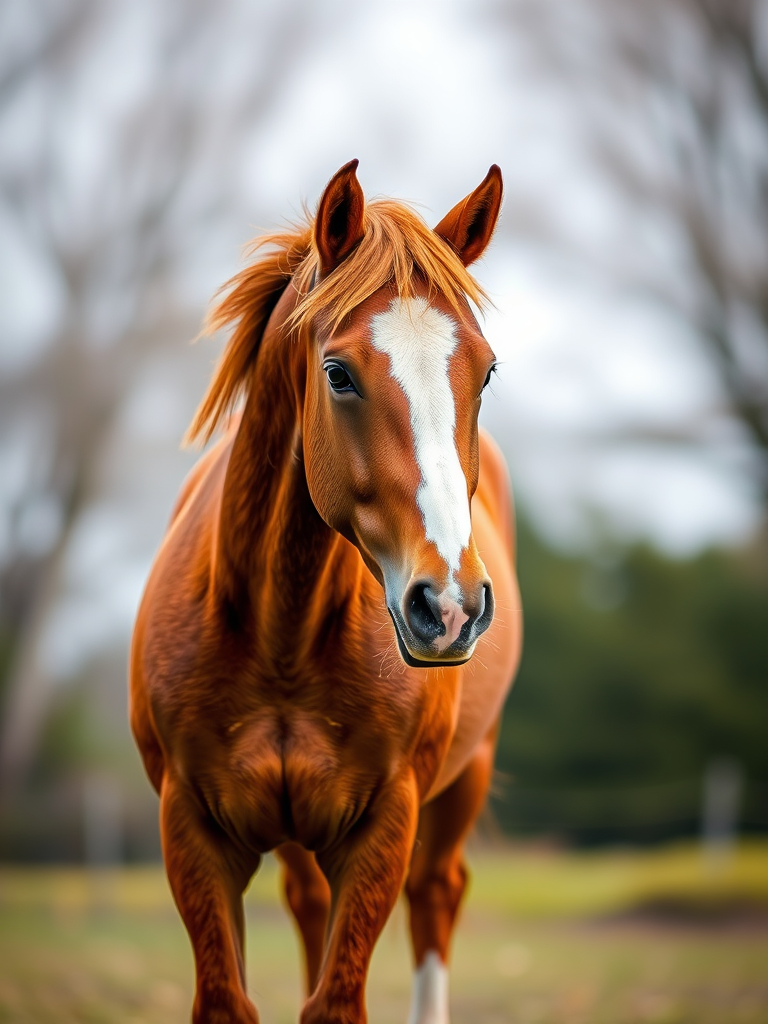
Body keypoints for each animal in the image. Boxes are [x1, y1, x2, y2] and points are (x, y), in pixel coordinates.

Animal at [130, 159, 522, 1024]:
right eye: (337, 374)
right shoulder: (192, 832)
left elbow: (337, 1001)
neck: (282, 629)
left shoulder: (383, 828)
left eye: (485, 371)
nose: (450, 606)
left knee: (437, 894)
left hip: (464, 782)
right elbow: (230, 1000)